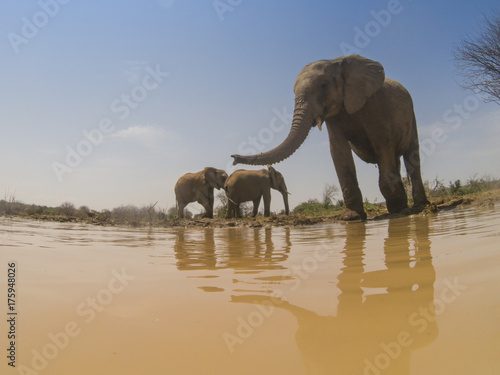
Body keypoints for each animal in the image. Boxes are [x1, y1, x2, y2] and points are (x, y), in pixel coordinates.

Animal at [232, 55, 428, 220]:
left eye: (324, 85)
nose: (233, 157)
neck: (338, 61)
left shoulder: (376, 105)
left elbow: (382, 145)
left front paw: (397, 210)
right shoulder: (334, 117)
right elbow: (339, 152)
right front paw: (351, 217)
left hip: (412, 116)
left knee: (411, 157)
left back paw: (418, 207)